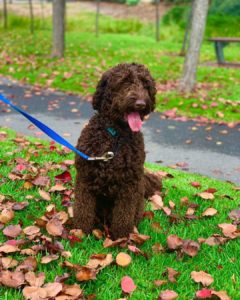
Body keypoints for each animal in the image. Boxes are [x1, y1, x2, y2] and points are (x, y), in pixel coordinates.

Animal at [74, 62, 162, 239]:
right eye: (124, 81)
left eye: (145, 85)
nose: (141, 104)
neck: (116, 136)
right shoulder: (85, 179)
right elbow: (82, 210)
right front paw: (79, 233)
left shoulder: (129, 186)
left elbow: (123, 215)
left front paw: (121, 238)